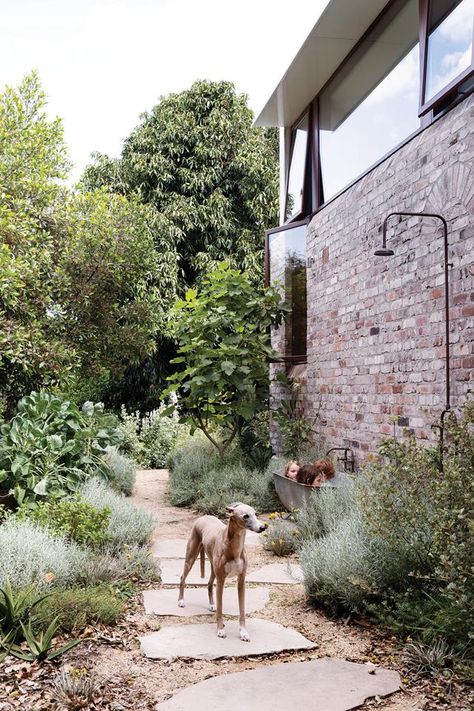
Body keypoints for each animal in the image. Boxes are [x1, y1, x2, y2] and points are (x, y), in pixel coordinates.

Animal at [178, 504, 266, 644]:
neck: (235, 548)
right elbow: (220, 610)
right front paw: (220, 629)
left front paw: (243, 633)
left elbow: (242, 610)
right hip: (190, 559)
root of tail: (203, 516)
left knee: (209, 584)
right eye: (245, 516)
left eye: (255, 513)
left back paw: (211, 605)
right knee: (182, 578)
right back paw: (181, 601)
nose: (263, 527)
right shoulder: (221, 581)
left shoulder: (241, 581)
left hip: (213, 569)